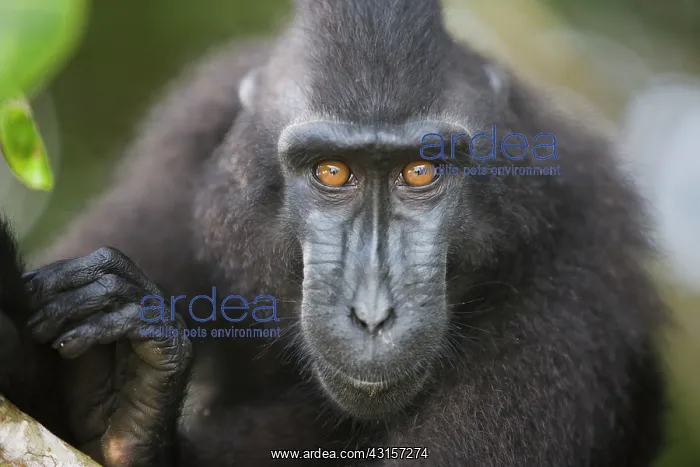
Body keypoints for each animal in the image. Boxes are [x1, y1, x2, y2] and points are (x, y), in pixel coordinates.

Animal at [0, 0, 667, 466]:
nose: (372, 314)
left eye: (420, 171)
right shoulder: (182, 155)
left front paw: (129, 416)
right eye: (332, 171)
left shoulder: (583, 252)